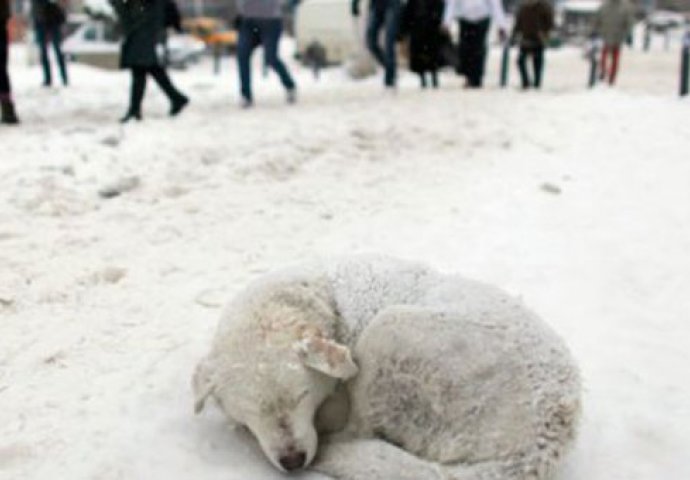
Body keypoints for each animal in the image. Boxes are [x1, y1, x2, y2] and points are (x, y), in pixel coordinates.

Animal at [191, 256, 576, 478]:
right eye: (252, 410)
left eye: (301, 396)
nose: (293, 461)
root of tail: (536, 447)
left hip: (389, 331)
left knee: (356, 432)